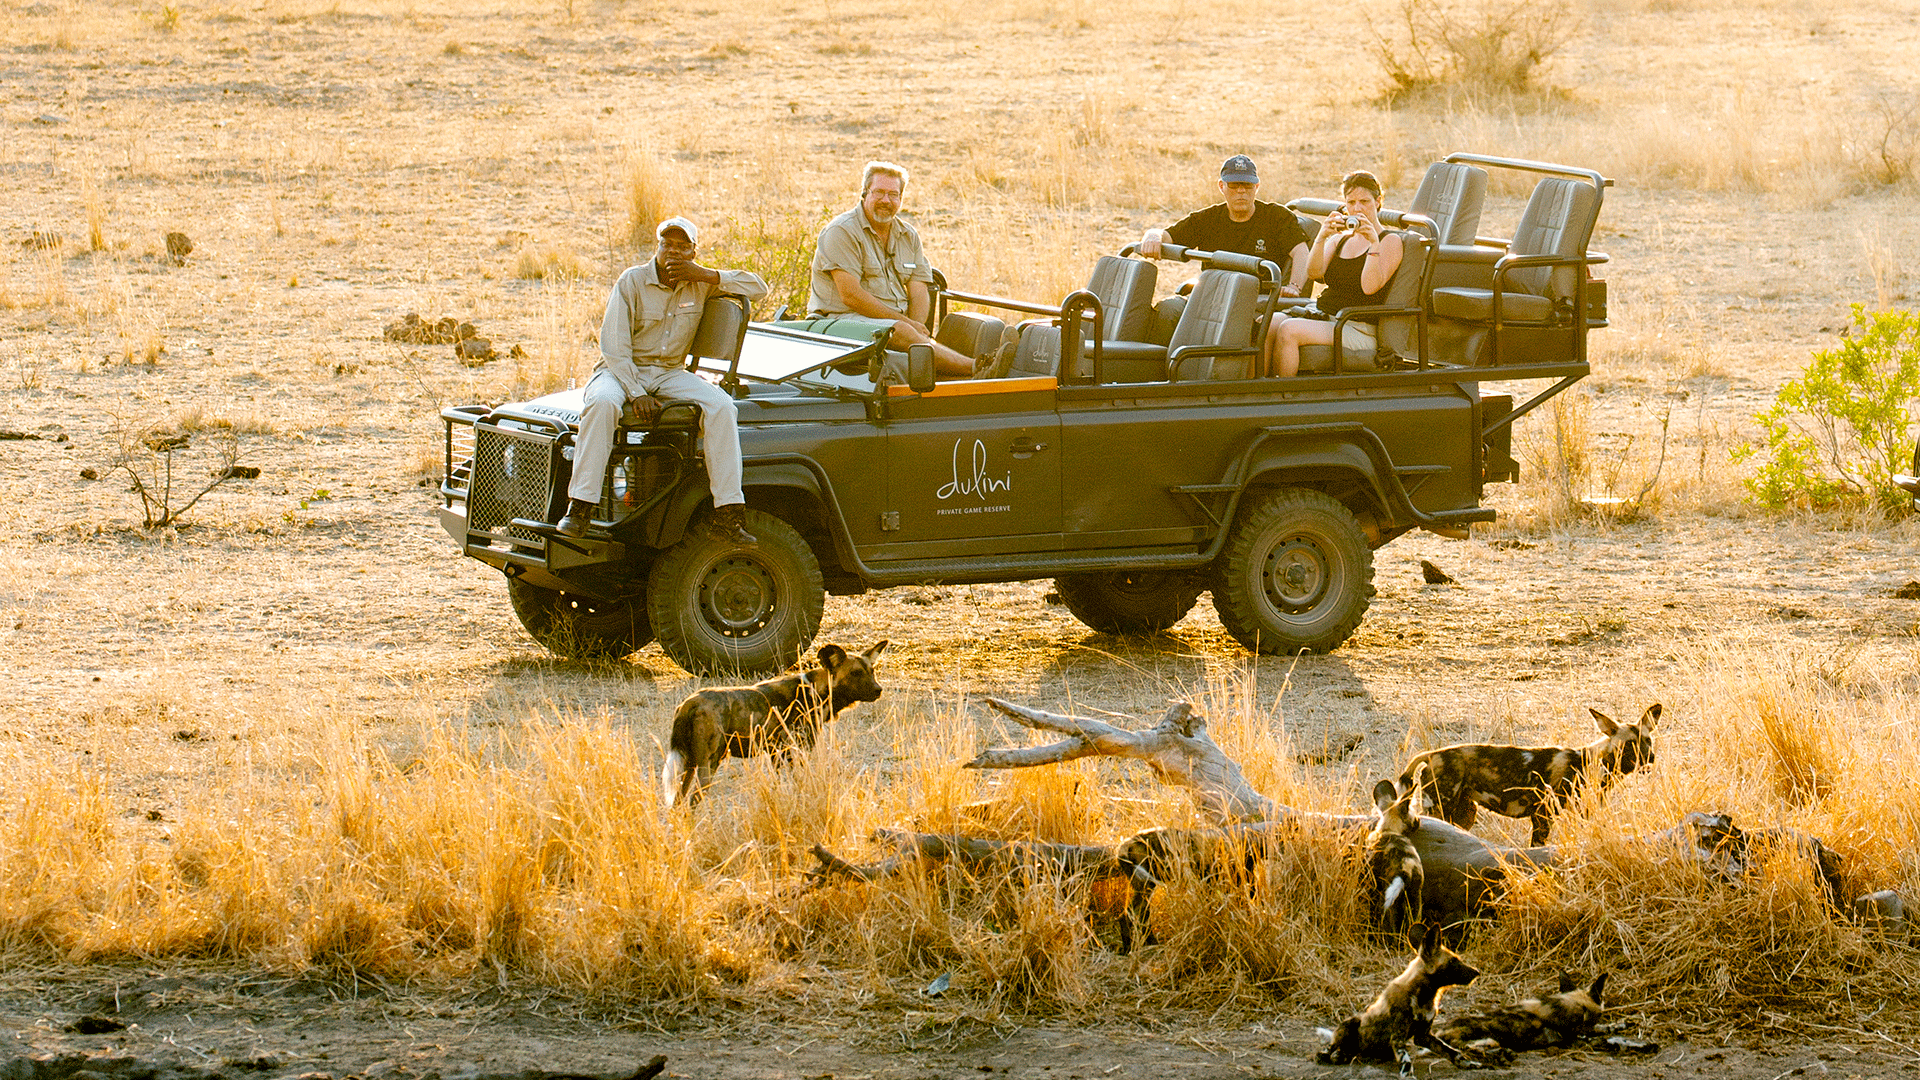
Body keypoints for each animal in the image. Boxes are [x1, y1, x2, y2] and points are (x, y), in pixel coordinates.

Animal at [664, 634, 887, 803]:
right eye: (855, 673)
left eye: (872, 671)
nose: (879, 690)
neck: (816, 691)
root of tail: (689, 703)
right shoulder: (793, 751)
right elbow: (797, 782)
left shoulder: (776, 753)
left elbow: (779, 785)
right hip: (708, 764)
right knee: (692, 801)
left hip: (689, 765)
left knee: (678, 803)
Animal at [1320, 922, 1482, 1068]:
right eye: (1453, 961)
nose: (1477, 972)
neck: (1424, 995)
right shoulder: (1397, 1038)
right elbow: (1406, 1063)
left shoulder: (1423, 1036)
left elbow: (1451, 1051)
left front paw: (1468, 1063)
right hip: (1350, 1023)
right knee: (1329, 1049)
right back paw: (1330, 1055)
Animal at [1367, 772, 1428, 933]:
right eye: (1416, 819)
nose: (1419, 822)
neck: (1388, 829)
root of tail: (1406, 870)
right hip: (1415, 899)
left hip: (1388, 899)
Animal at [1397, 703, 1666, 845]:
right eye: (1630, 744)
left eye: (1648, 740)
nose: (1651, 758)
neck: (1591, 762)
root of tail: (1431, 754)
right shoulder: (1542, 816)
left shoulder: (1584, 813)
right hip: (1440, 808)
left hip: (1464, 813)